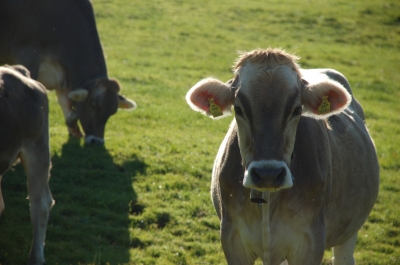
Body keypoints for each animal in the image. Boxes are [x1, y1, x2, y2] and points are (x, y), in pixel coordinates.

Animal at [0, 0, 137, 144]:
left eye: (112, 112)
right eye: (93, 106)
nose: (97, 141)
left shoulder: (63, 76)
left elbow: (65, 101)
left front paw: (74, 129)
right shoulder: (27, 55)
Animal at [186, 48, 380, 262]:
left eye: (297, 109)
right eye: (238, 108)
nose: (268, 174)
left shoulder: (311, 242)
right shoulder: (232, 238)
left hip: (349, 229)